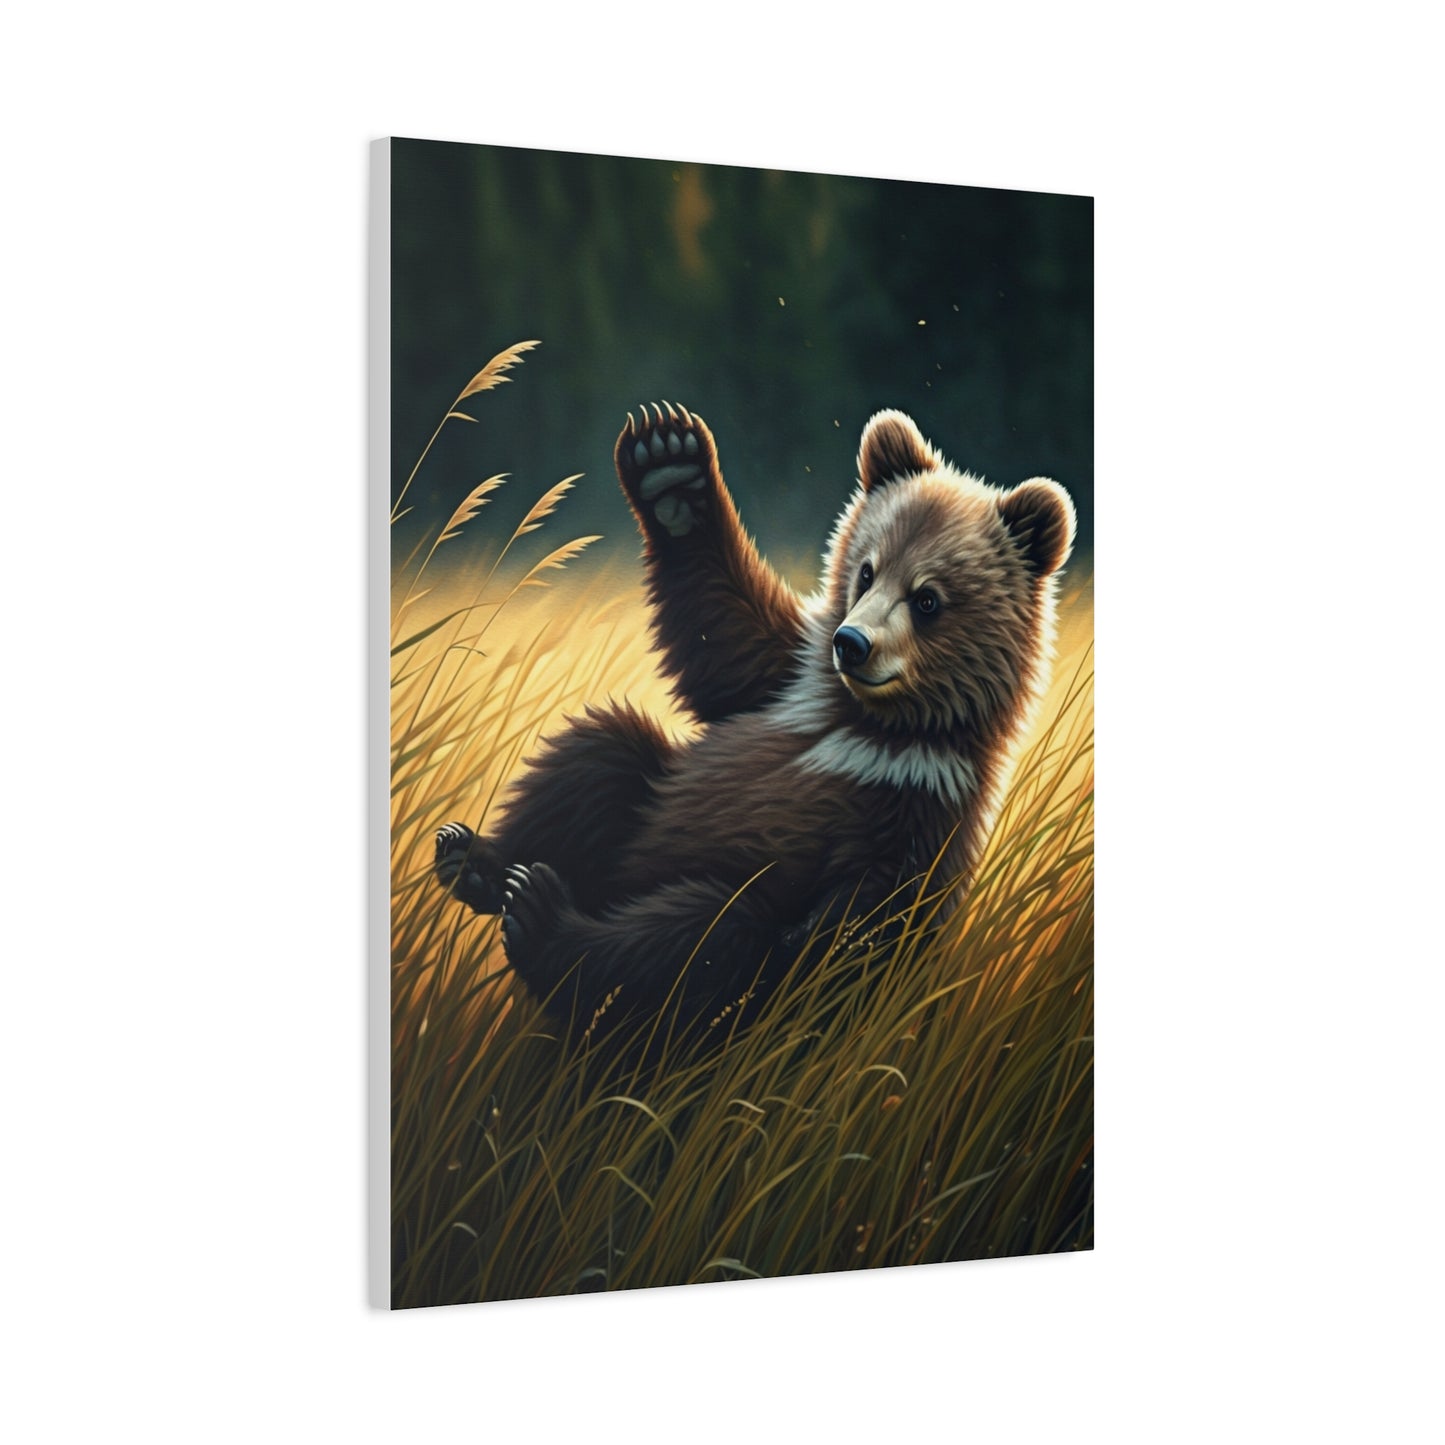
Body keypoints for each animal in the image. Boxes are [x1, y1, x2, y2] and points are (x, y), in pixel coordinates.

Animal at [435, 402, 1075, 1042]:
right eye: (867, 571)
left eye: (927, 599)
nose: (851, 643)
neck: (874, 725)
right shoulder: (790, 683)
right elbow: (726, 642)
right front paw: (668, 463)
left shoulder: (919, 809)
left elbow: (850, 929)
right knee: (599, 757)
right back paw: (474, 860)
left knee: (701, 936)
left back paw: (543, 919)